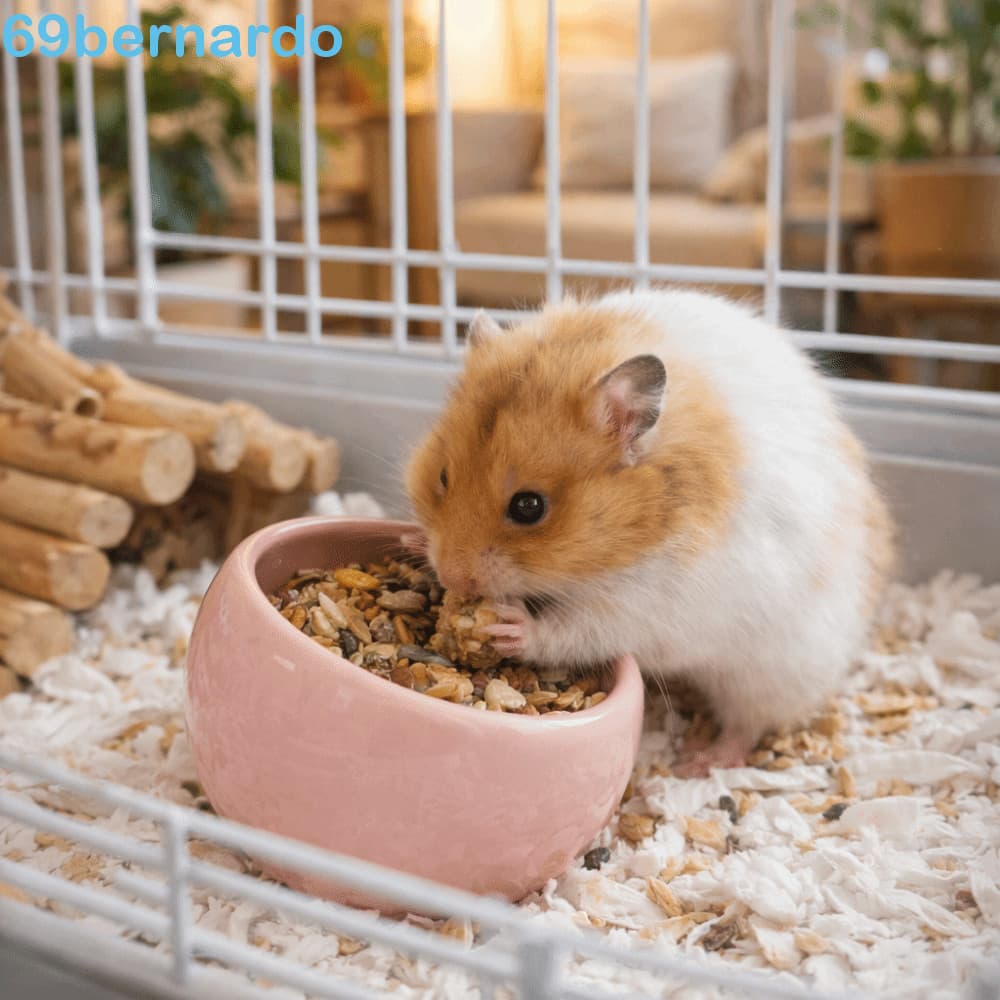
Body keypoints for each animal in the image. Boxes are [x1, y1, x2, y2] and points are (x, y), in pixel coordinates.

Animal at [406, 289, 894, 775]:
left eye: (529, 506)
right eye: (443, 477)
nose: (450, 577)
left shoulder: (650, 605)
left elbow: (576, 629)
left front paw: (508, 627)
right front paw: (412, 540)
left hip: (774, 673)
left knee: (749, 724)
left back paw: (698, 762)